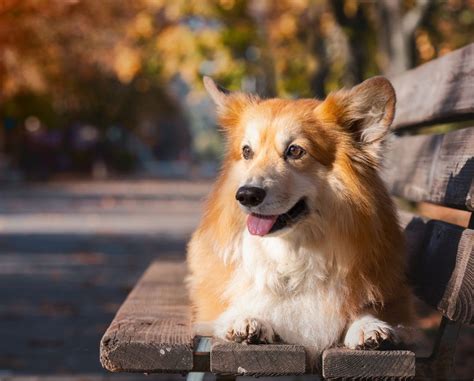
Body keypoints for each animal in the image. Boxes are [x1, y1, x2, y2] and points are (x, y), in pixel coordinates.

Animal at [185, 75, 412, 364]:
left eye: (294, 151)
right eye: (247, 151)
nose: (246, 195)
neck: (293, 252)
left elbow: (365, 308)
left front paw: (369, 325)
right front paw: (245, 319)